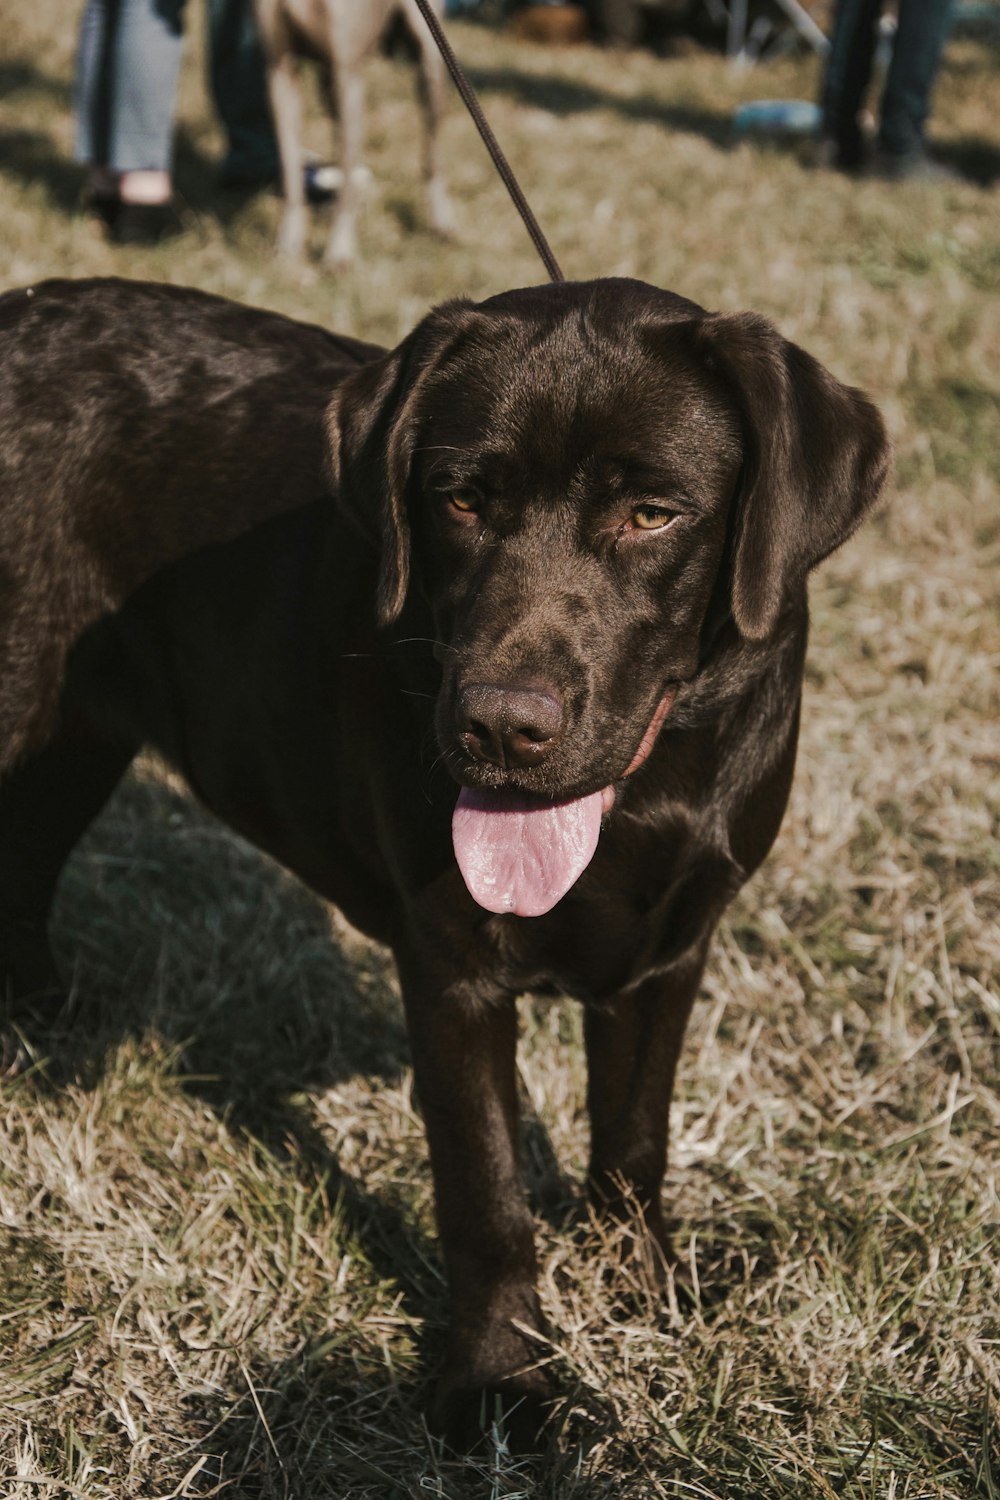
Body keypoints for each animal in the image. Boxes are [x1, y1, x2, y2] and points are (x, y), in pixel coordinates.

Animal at [0, 276, 893, 1446]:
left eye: (653, 513)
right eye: (461, 499)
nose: (502, 727)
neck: (640, 793)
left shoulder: (670, 951)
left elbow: (633, 1140)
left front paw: (645, 1293)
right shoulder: (453, 967)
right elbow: (486, 1191)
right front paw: (500, 1381)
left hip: (70, 743)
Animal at [254, 0, 452, 265]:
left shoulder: (346, 72)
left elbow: (346, 176)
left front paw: (340, 250)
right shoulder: (279, 72)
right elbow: (290, 173)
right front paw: (289, 246)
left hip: (430, 60)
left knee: (433, 152)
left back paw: (441, 221)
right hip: (327, 82)